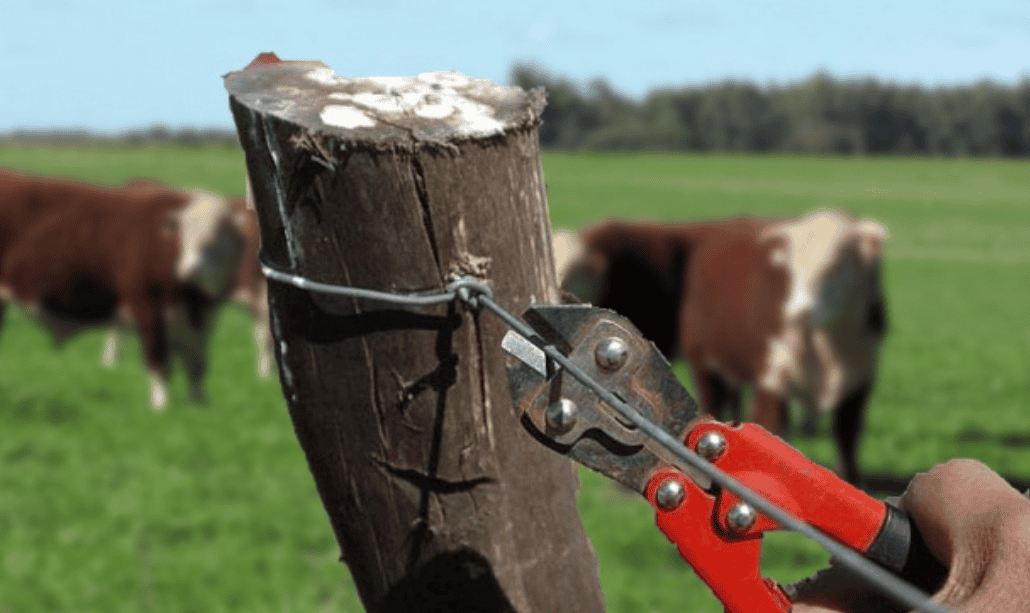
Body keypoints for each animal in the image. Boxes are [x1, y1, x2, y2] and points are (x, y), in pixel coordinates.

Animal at [0, 168, 247, 410]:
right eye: (183, 233)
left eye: (220, 233)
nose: (189, 270)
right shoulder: (148, 308)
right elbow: (159, 358)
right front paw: (161, 405)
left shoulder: (203, 322)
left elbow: (196, 364)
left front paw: (198, 404)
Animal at [558, 210, 888, 485]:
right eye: (791, 269)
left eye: (837, 266)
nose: (799, 311)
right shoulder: (771, 380)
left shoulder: (860, 376)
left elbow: (847, 435)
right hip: (705, 360)